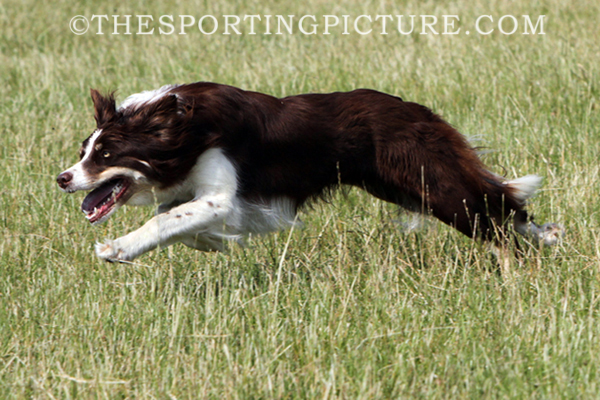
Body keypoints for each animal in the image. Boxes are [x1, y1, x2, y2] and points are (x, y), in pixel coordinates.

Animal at [56, 82, 561, 262]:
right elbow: (178, 220)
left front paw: (116, 249)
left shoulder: (220, 193)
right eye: (84, 151)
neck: (181, 131)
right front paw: (218, 243)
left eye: (105, 155)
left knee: (494, 212)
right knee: (500, 206)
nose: (62, 178)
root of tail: (419, 111)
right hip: (403, 187)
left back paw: (530, 258)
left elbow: (164, 220)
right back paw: (549, 238)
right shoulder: (207, 197)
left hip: (432, 183)